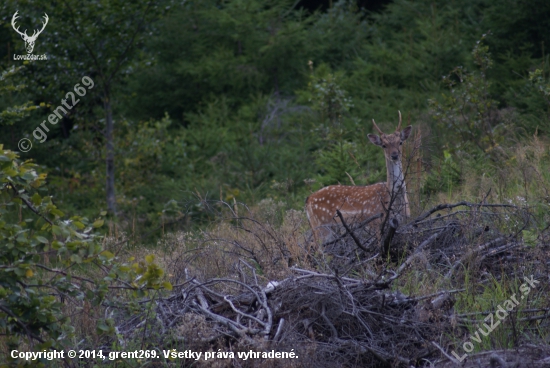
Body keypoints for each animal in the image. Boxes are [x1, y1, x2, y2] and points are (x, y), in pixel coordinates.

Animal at [306, 110, 414, 246]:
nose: (394, 155)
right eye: (384, 145)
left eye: (400, 142)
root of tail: (308, 200)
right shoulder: (375, 224)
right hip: (321, 227)